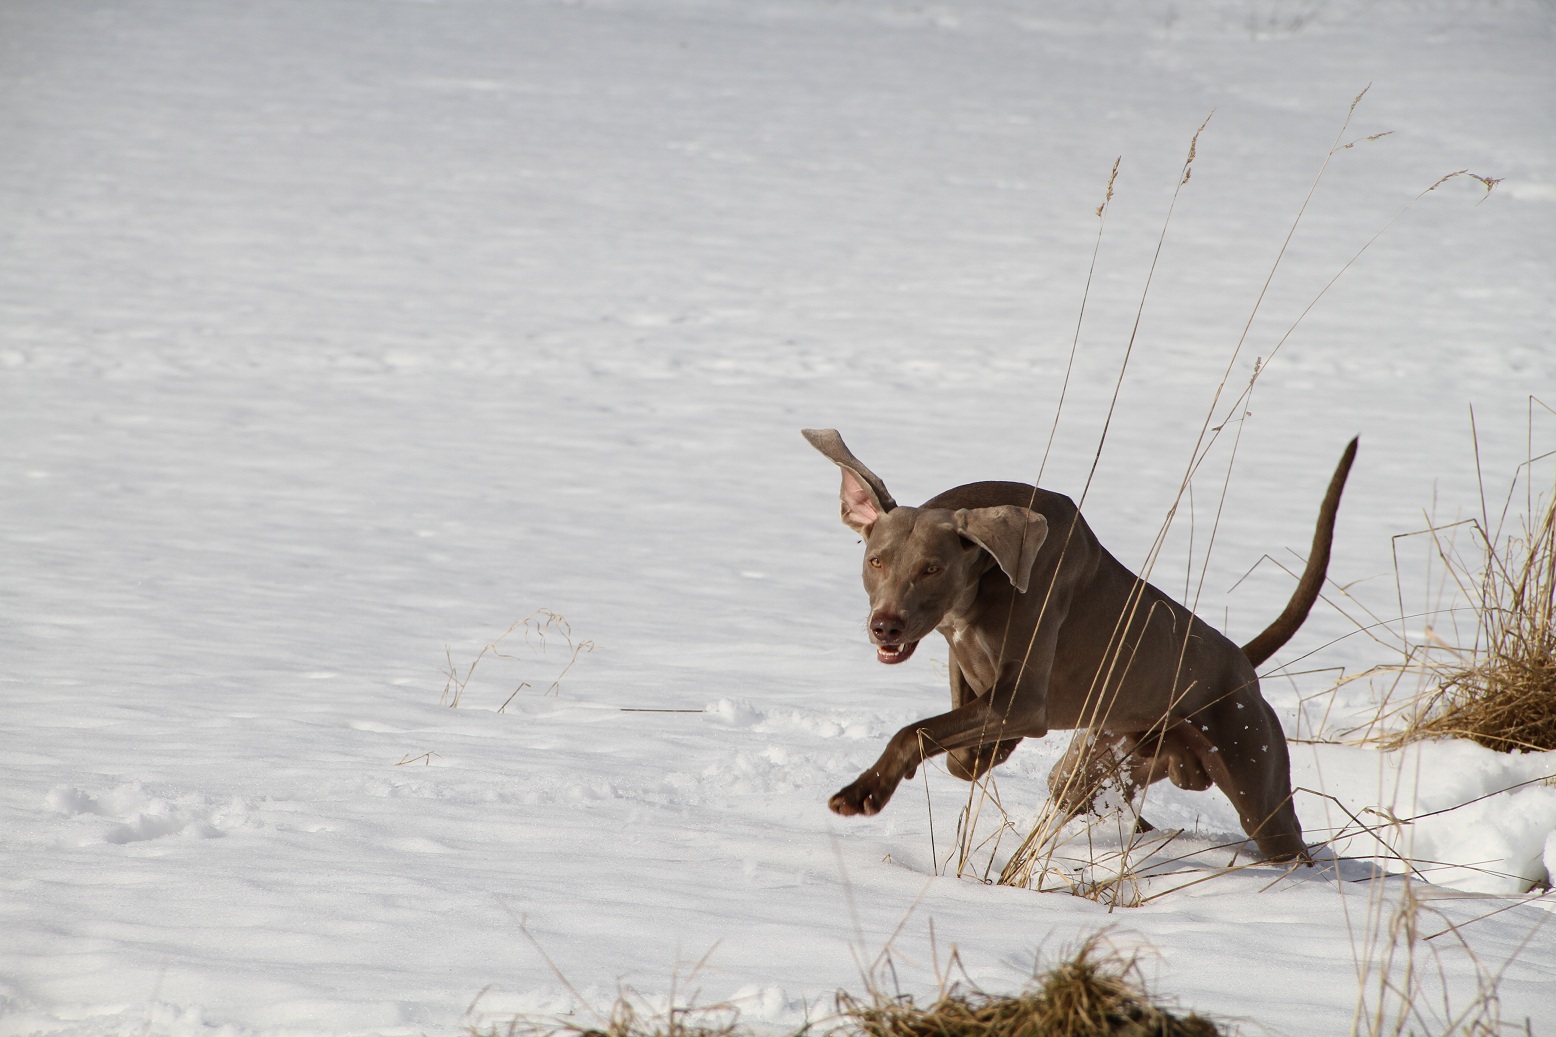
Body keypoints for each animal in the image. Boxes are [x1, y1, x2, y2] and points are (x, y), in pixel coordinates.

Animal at [809, 423, 1356, 859]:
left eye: (931, 569)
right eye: (876, 561)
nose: (886, 626)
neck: (984, 580)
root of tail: (1242, 663)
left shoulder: (1024, 700)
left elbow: (917, 732)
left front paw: (863, 794)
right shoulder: (961, 654)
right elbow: (957, 751)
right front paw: (982, 755)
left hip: (1256, 779)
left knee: (1284, 837)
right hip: (1112, 755)